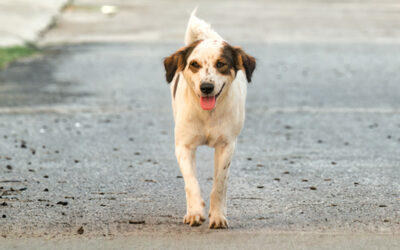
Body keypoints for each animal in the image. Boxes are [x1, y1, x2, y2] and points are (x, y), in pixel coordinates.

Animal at [163, 10, 255, 229]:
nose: (206, 87)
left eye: (221, 64)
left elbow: (220, 183)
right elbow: (191, 182)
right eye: (194, 65)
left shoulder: (226, 145)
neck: (207, 114)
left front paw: (218, 215)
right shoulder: (184, 146)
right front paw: (195, 212)